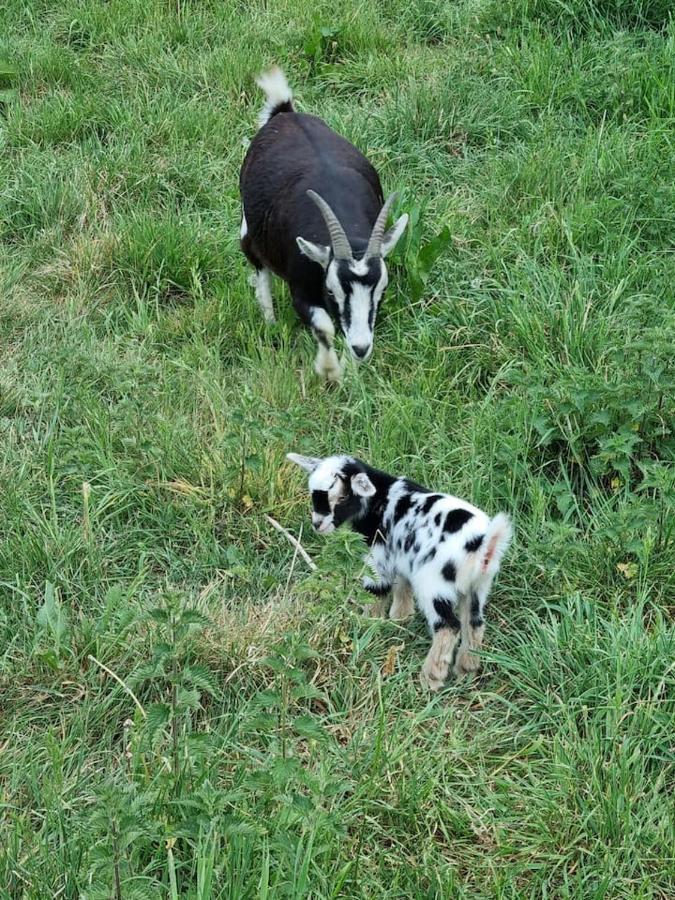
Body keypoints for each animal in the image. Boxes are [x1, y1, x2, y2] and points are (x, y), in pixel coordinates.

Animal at [240, 69, 410, 380]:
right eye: (332, 291)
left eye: (381, 290)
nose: (360, 347)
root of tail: (284, 113)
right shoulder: (300, 290)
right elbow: (325, 325)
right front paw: (329, 370)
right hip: (248, 231)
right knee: (259, 267)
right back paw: (270, 323)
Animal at [286, 454, 512, 692]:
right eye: (313, 495)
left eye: (343, 497)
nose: (317, 524)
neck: (380, 498)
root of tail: (482, 545)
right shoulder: (403, 555)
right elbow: (403, 583)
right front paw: (400, 617)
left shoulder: (378, 558)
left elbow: (376, 590)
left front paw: (367, 625)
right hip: (478, 586)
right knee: (474, 622)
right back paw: (466, 670)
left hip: (434, 584)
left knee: (448, 626)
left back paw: (431, 678)